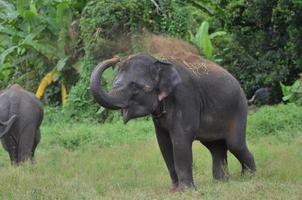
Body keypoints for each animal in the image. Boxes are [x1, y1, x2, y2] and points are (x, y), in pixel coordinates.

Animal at [89, 53, 255, 192]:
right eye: (114, 83)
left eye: (135, 86)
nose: (116, 58)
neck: (160, 62)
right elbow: (164, 144)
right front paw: (173, 190)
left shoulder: (186, 98)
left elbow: (180, 141)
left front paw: (185, 191)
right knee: (216, 148)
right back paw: (220, 181)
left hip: (239, 109)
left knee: (235, 144)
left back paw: (248, 176)